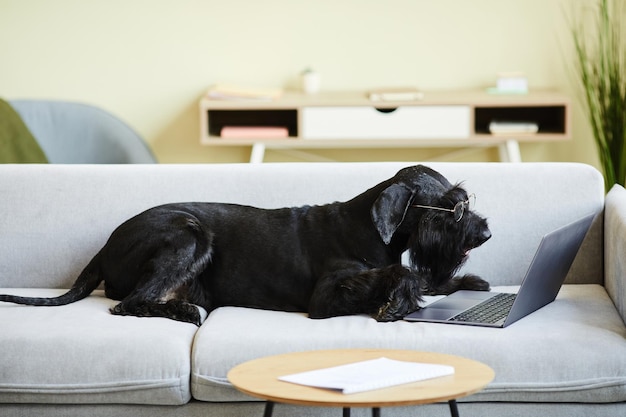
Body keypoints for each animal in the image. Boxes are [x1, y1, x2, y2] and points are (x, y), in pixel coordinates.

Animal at [0, 164, 488, 324]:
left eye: (463, 200)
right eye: (449, 208)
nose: (484, 233)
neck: (370, 226)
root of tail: (103, 247)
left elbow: (426, 277)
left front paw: (469, 284)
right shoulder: (328, 296)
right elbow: (401, 272)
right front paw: (399, 299)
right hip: (188, 235)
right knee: (129, 303)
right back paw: (185, 311)